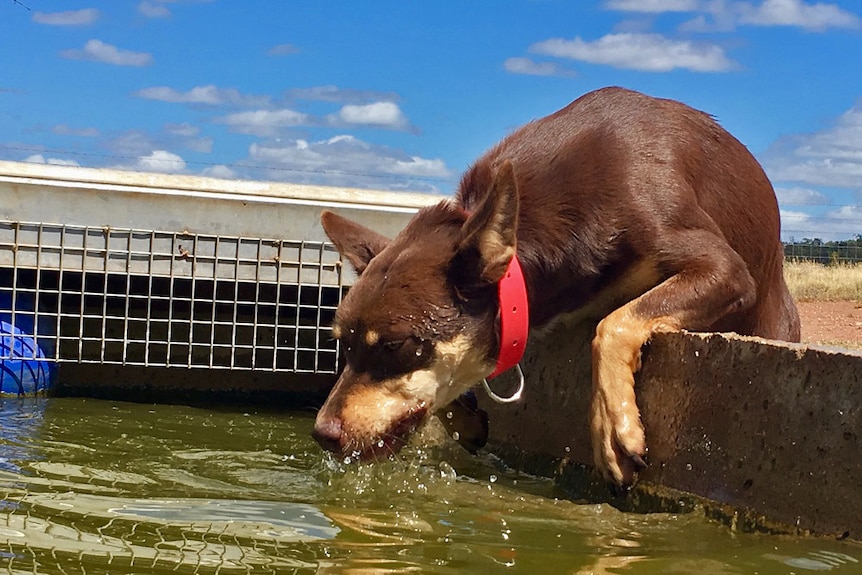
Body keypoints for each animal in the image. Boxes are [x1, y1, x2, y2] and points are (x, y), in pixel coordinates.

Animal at [312, 86, 804, 486]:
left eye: (396, 345)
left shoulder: (724, 268)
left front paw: (612, 426)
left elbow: (612, 324)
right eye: (342, 344)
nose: (321, 434)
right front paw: (468, 417)